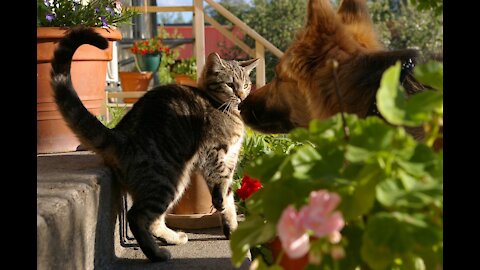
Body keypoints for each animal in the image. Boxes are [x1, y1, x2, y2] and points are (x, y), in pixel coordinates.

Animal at [50, 26, 256, 262]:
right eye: (230, 85)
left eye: (246, 84)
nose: (242, 96)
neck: (220, 106)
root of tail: (119, 134)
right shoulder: (214, 153)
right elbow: (223, 187)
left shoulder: (231, 157)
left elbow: (229, 199)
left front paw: (232, 229)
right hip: (167, 179)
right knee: (137, 216)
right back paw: (156, 253)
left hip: (176, 180)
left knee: (154, 221)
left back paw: (173, 238)